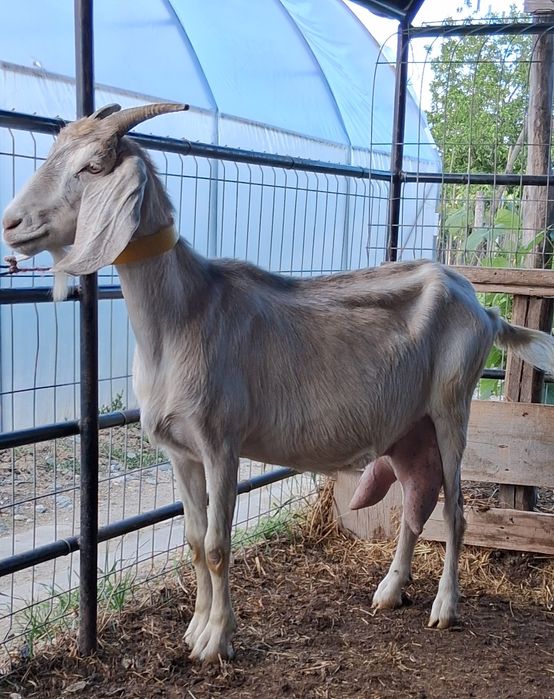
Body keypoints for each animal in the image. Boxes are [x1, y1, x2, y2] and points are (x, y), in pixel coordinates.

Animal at [3, 103, 554, 663]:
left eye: (92, 167)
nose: (12, 223)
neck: (183, 317)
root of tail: (482, 307)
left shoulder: (220, 443)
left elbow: (218, 546)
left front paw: (217, 641)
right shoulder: (180, 452)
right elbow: (194, 541)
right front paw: (194, 629)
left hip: (451, 406)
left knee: (457, 512)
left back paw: (444, 608)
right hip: (409, 426)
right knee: (416, 504)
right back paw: (389, 591)